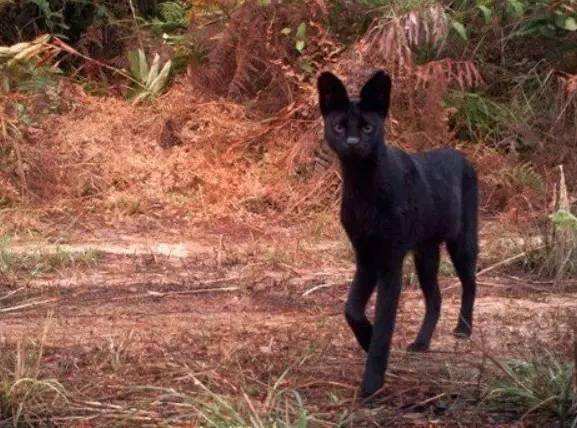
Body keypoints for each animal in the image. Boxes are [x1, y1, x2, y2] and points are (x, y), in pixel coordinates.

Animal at [318, 69, 480, 398]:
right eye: (339, 126)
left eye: (367, 127)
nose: (352, 142)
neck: (364, 188)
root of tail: (462, 157)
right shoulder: (366, 255)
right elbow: (351, 308)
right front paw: (365, 338)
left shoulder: (390, 261)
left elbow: (384, 322)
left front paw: (372, 383)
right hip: (425, 253)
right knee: (435, 297)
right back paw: (421, 342)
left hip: (462, 243)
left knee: (470, 284)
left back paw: (463, 329)